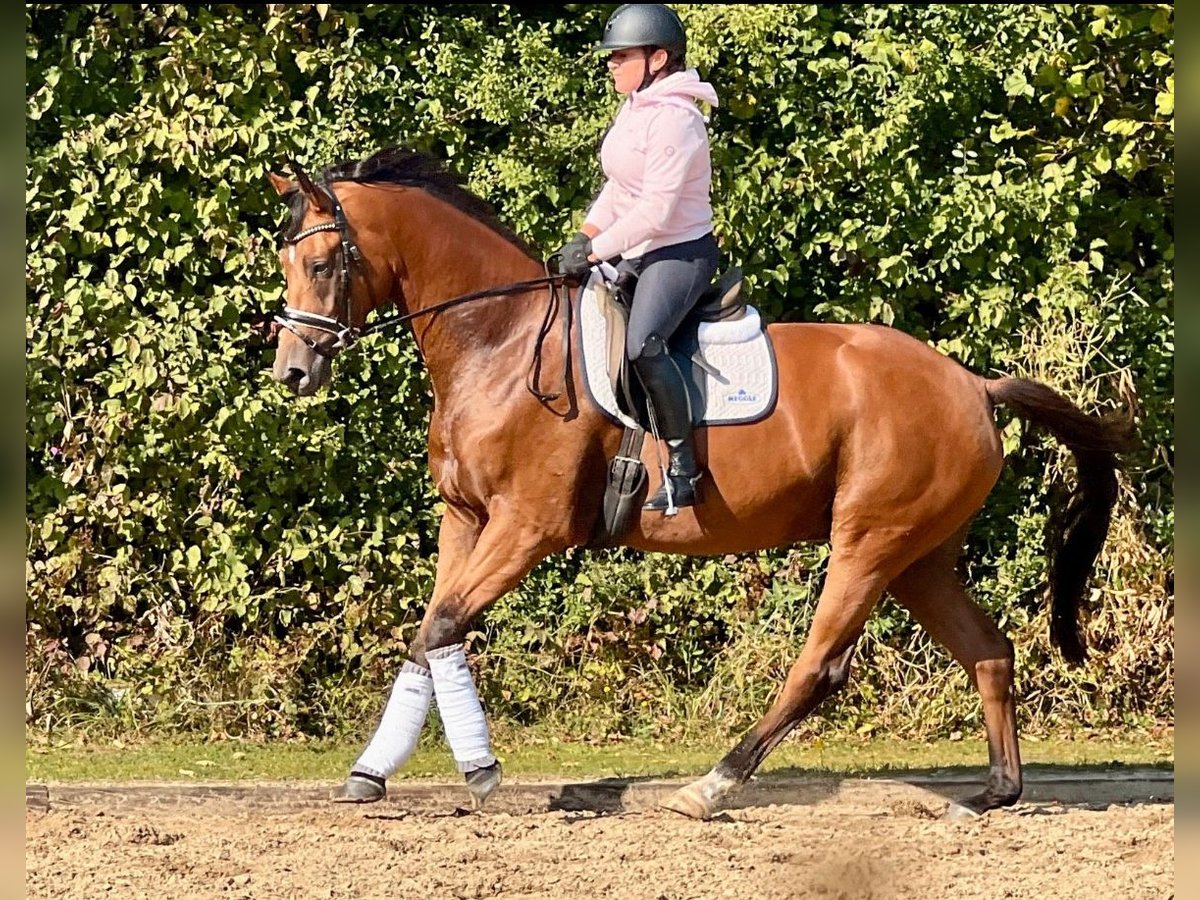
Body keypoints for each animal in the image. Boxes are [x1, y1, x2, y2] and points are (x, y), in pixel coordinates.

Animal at [262, 150, 1132, 825]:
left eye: (323, 263)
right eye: (286, 264)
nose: (293, 373)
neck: (499, 343)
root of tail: (973, 385)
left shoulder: (527, 527)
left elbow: (442, 625)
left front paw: (479, 771)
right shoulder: (466, 519)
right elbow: (429, 634)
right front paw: (372, 772)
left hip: (871, 542)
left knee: (820, 666)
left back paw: (711, 787)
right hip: (920, 557)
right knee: (988, 652)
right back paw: (992, 794)